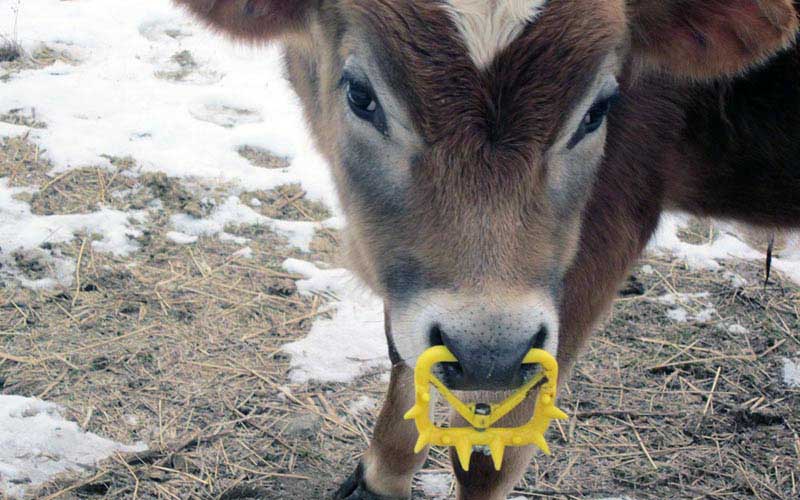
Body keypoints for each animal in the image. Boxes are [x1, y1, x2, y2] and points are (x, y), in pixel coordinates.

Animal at [174, 1, 800, 498]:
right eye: (360, 94)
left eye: (597, 110)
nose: (488, 352)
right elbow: (406, 362)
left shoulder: (609, 226)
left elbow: (488, 458)